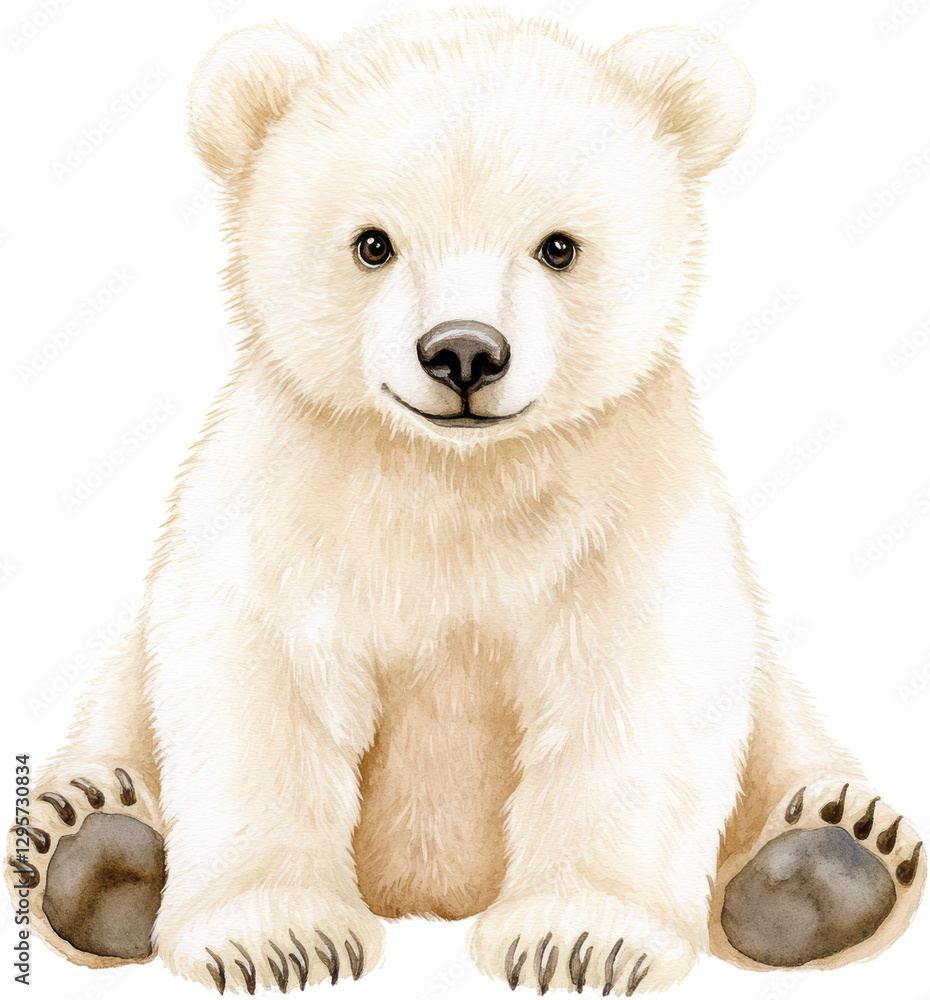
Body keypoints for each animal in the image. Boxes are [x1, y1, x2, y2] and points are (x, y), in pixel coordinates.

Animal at [6, 8, 924, 996]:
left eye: (558, 246)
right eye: (373, 242)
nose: (464, 353)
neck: (455, 476)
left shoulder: (625, 509)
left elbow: (634, 689)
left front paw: (581, 939)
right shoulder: (291, 501)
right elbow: (259, 684)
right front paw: (280, 940)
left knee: (784, 725)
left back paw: (827, 865)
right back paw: (92, 848)